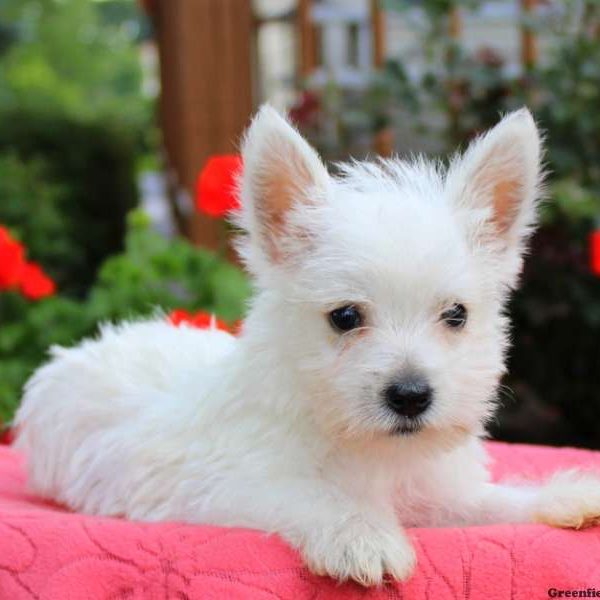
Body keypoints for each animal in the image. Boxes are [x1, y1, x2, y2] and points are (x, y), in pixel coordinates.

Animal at [14, 105, 600, 584]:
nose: (411, 395)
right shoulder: (224, 484)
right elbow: (306, 493)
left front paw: (561, 496)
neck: (363, 448)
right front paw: (359, 534)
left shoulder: (435, 493)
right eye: (345, 317)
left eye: (455, 315)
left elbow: (486, 503)